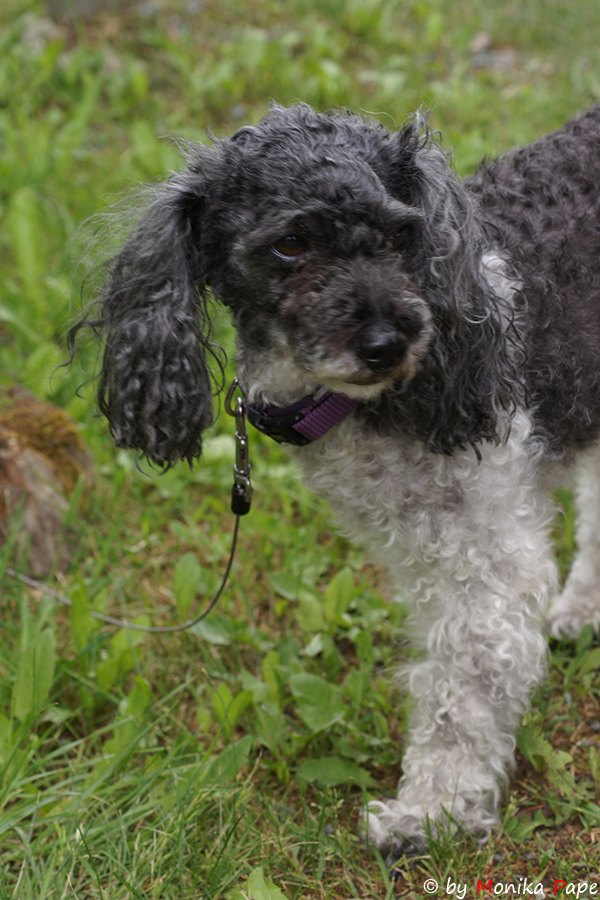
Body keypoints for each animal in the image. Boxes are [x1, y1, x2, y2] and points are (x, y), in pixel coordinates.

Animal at [70, 103, 600, 856]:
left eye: (402, 234)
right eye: (291, 244)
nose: (390, 342)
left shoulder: (484, 556)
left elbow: (465, 684)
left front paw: (430, 815)